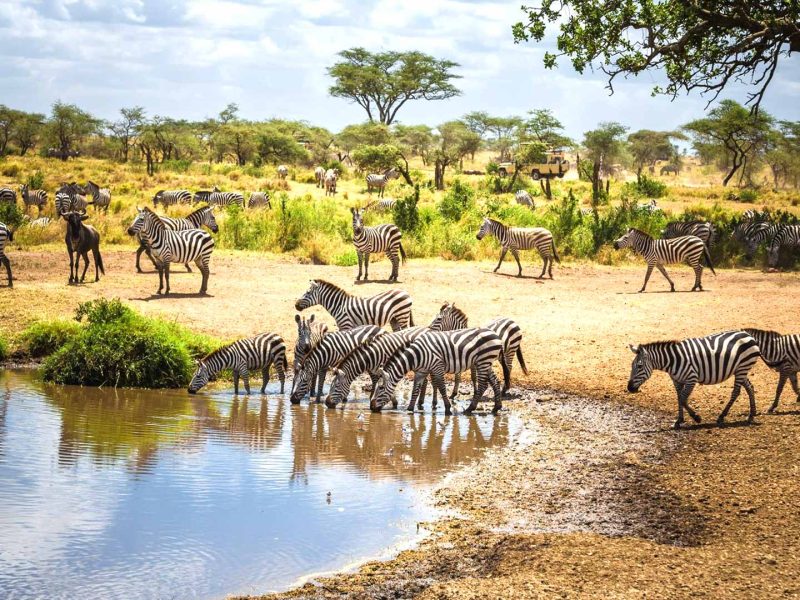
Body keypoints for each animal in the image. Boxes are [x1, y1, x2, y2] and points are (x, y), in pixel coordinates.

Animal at [372, 328, 505, 415]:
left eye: (381, 388)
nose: (371, 407)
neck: (417, 356)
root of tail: (496, 335)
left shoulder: (437, 366)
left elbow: (441, 387)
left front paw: (447, 408)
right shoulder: (421, 372)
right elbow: (415, 390)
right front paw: (410, 409)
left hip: (483, 361)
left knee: (483, 385)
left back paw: (470, 409)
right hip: (485, 362)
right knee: (494, 381)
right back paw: (496, 407)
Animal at [627, 331, 761, 428]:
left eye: (639, 366)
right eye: (631, 365)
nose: (629, 388)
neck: (673, 360)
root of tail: (748, 335)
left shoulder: (692, 379)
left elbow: (683, 399)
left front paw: (696, 417)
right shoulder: (677, 381)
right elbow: (679, 399)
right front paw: (679, 420)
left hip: (742, 368)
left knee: (736, 391)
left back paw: (722, 416)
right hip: (739, 370)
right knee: (750, 387)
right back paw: (751, 415)